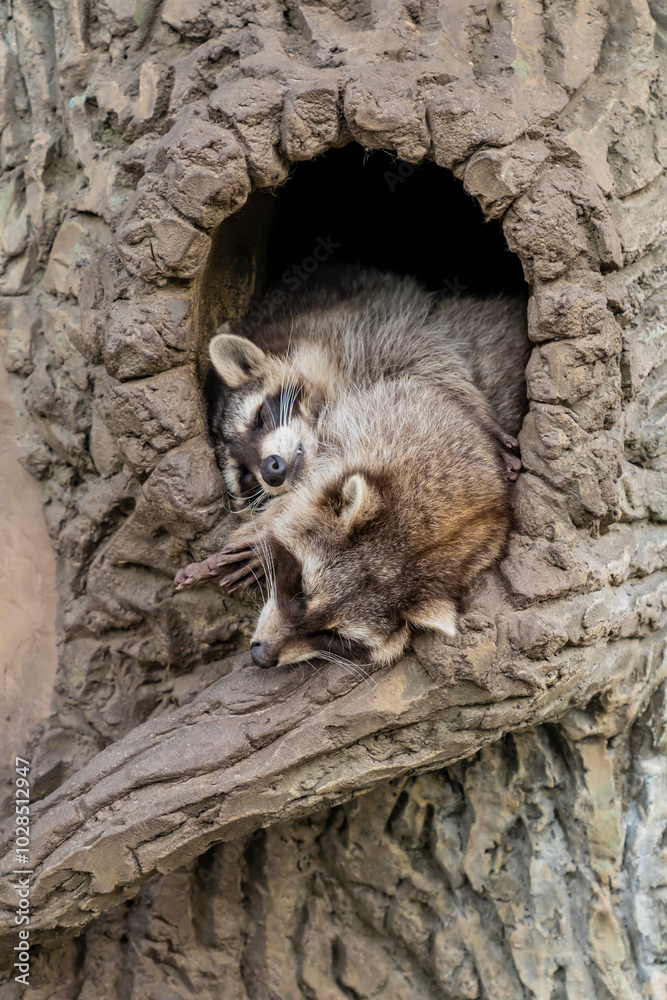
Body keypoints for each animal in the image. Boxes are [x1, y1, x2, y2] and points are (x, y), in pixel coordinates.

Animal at [176, 376, 512, 669]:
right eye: (300, 592)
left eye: (334, 635)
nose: (261, 657)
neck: (418, 542)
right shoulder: (348, 450)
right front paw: (258, 545)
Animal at [207, 269, 528, 511]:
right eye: (244, 477)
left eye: (259, 418)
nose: (270, 470)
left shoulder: (352, 334)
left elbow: (425, 352)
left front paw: (479, 420)